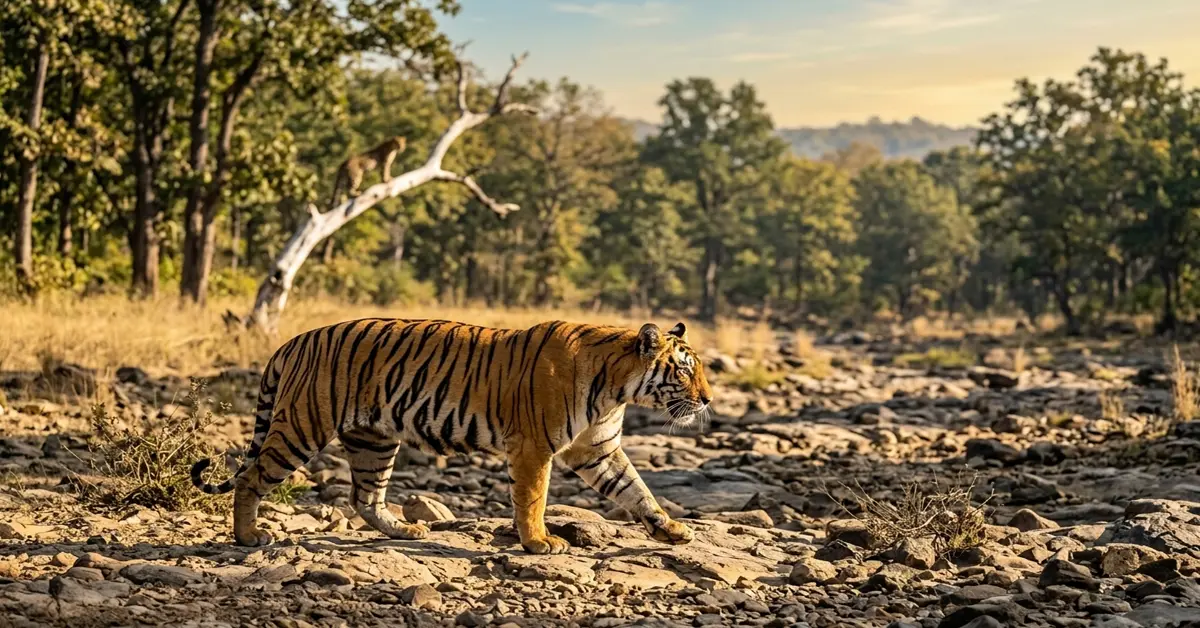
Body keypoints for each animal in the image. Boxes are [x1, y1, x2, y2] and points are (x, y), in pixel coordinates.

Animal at [191, 318, 713, 554]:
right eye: (685, 371)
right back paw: (248, 536)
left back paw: (406, 530)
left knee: (366, 498)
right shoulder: (533, 447)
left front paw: (671, 528)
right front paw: (539, 542)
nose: (708, 399)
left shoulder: (598, 449)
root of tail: (293, 340)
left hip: (374, 439)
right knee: (251, 477)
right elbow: (534, 498)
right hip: (303, 424)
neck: (618, 388)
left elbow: (637, 490)